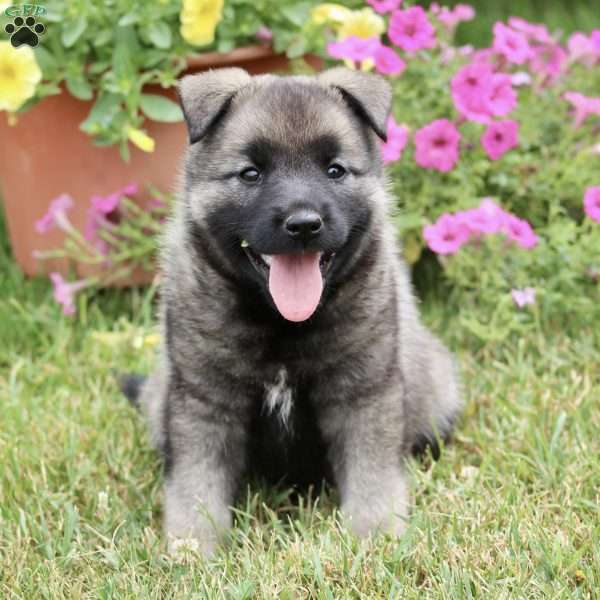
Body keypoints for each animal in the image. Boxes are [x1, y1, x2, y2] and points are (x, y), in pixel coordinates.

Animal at [120, 64, 460, 552]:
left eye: (334, 170)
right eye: (251, 173)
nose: (303, 224)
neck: (281, 321)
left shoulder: (363, 394)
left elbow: (372, 473)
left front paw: (374, 536)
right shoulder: (204, 400)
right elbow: (196, 483)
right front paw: (193, 546)